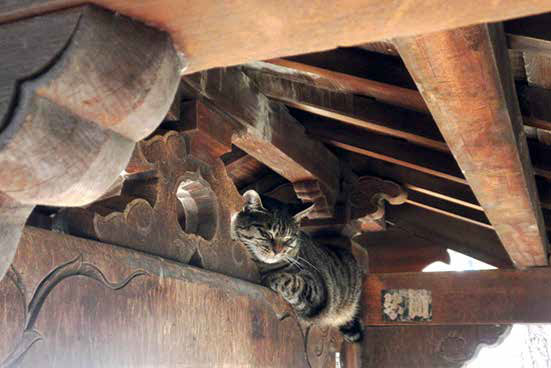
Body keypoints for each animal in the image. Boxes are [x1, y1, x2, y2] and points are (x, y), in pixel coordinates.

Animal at [231, 190, 364, 342]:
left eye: (288, 239)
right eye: (266, 234)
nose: (278, 251)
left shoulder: (317, 289)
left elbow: (291, 281)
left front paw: (270, 277)